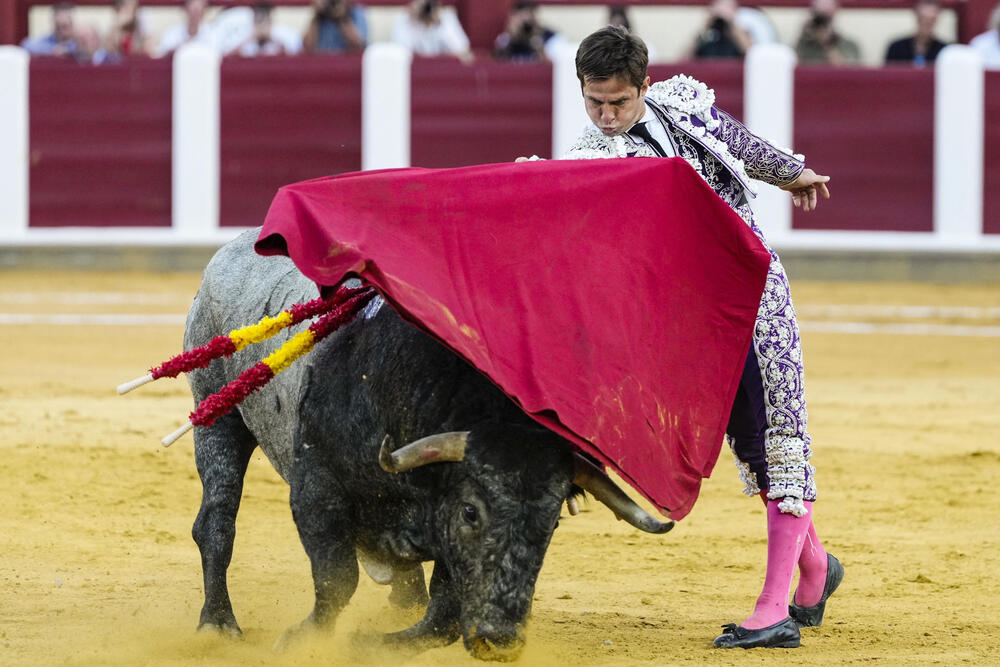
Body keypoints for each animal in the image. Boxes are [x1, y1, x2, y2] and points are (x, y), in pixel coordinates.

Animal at [185, 232, 676, 660]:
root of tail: (234, 247)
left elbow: (442, 618)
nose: (501, 640)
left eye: (553, 522)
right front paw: (299, 641)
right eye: (471, 512)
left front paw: (369, 643)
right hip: (216, 416)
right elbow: (337, 580)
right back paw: (217, 625)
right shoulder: (317, 490)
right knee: (216, 522)